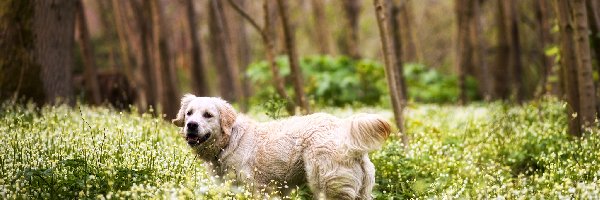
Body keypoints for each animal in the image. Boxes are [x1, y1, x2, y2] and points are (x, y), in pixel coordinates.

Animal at [171, 94, 392, 199]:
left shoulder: (255, 189)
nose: (191, 125)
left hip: (325, 188)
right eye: (189, 113)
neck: (230, 140)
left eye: (208, 115)